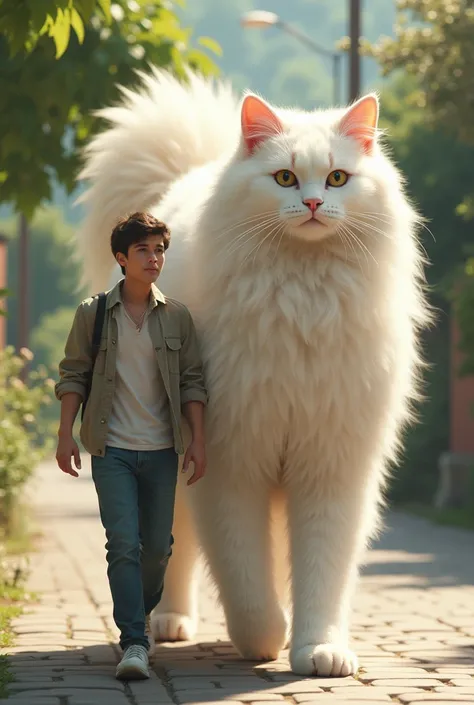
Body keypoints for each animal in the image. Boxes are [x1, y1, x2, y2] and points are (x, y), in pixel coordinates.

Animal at [77, 70, 426, 676]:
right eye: (284, 177)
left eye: (338, 178)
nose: (312, 202)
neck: (304, 292)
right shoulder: (231, 463)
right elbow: (243, 572)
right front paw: (265, 638)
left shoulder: (331, 465)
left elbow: (321, 570)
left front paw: (318, 650)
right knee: (169, 550)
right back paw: (168, 624)